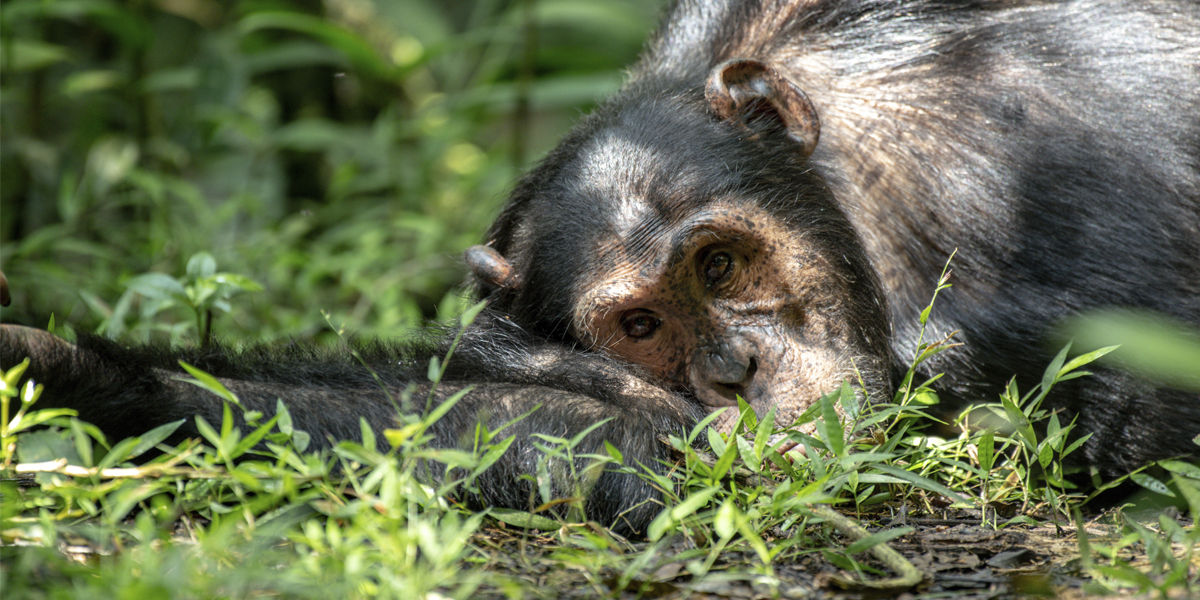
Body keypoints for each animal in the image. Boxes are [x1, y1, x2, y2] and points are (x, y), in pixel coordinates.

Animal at [2, 0, 1200, 535]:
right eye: (640, 324)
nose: (733, 371)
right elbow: (523, 417)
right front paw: (78, 374)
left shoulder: (1046, 150)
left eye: (719, 266)